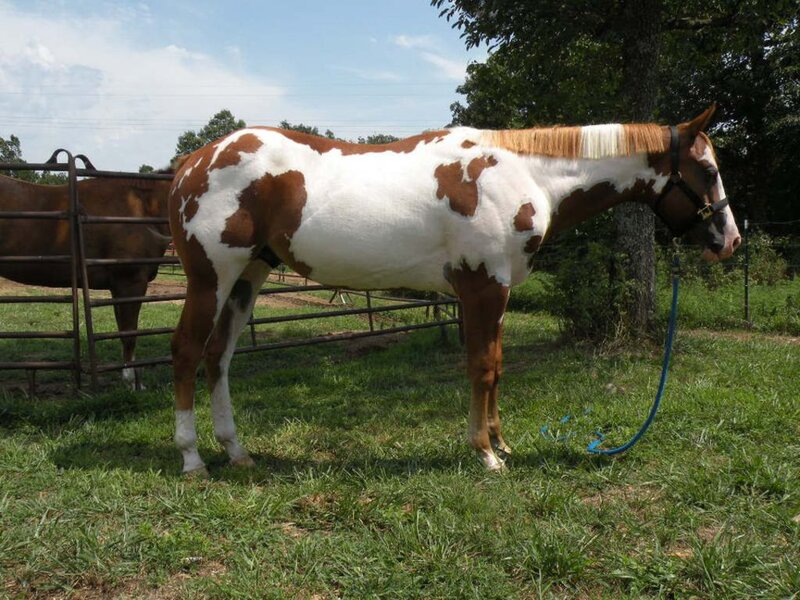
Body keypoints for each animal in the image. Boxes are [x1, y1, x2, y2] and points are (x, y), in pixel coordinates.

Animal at [0, 174, 173, 389]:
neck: (142, 206)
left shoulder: (117, 288)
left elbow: (122, 330)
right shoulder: (130, 283)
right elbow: (129, 334)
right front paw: (133, 382)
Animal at [168, 105, 740, 475]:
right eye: (708, 169)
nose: (730, 240)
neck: (524, 173)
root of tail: (192, 162)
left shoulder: (499, 290)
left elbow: (498, 367)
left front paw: (503, 445)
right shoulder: (483, 287)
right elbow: (482, 367)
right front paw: (484, 454)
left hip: (249, 276)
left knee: (219, 357)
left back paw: (236, 451)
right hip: (211, 277)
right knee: (188, 352)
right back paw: (192, 458)